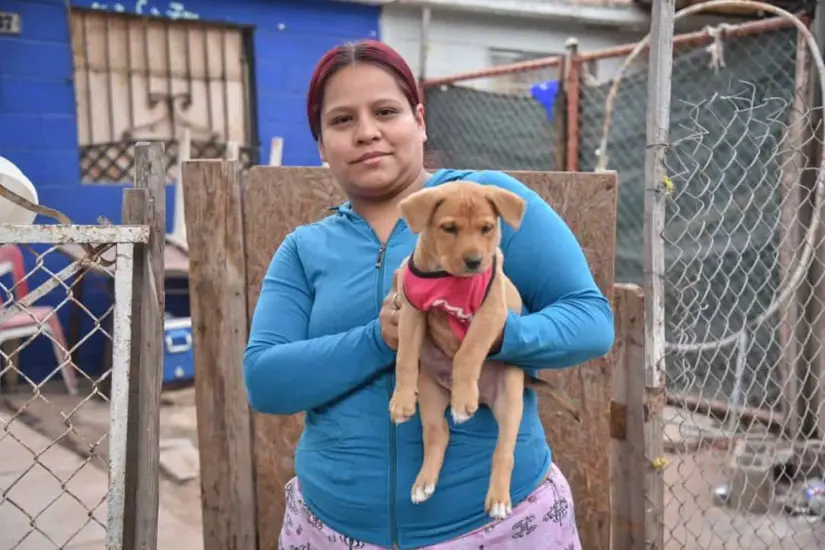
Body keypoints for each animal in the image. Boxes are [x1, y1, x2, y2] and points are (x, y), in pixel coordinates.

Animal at [388, 181, 576, 520]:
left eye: (486, 228)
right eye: (449, 228)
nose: (475, 261)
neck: (449, 279)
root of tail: (487, 398)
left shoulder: (490, 315)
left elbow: (468, 353)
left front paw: (464, 399)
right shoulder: (411, 311)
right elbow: (405, 357)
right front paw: (401, 401)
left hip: (510, 400)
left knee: (504, 451)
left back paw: (498, 499)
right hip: (431, 393)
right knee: (438, 433)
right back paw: (424, 483)